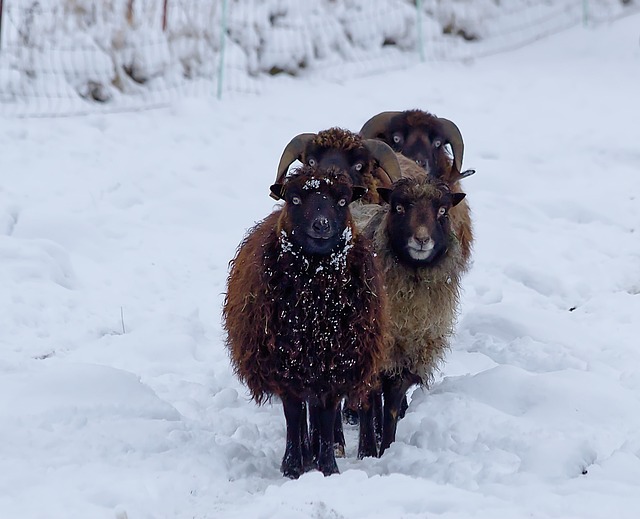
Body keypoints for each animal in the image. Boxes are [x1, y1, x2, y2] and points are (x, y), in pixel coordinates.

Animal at [222, 167, 388, 480]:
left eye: (342, 201)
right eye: (295, 199)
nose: (321, 225)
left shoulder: (336, 362)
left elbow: (325, 415)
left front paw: (328, 467)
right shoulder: (284, 362)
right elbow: (294, 414)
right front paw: (293, 466)